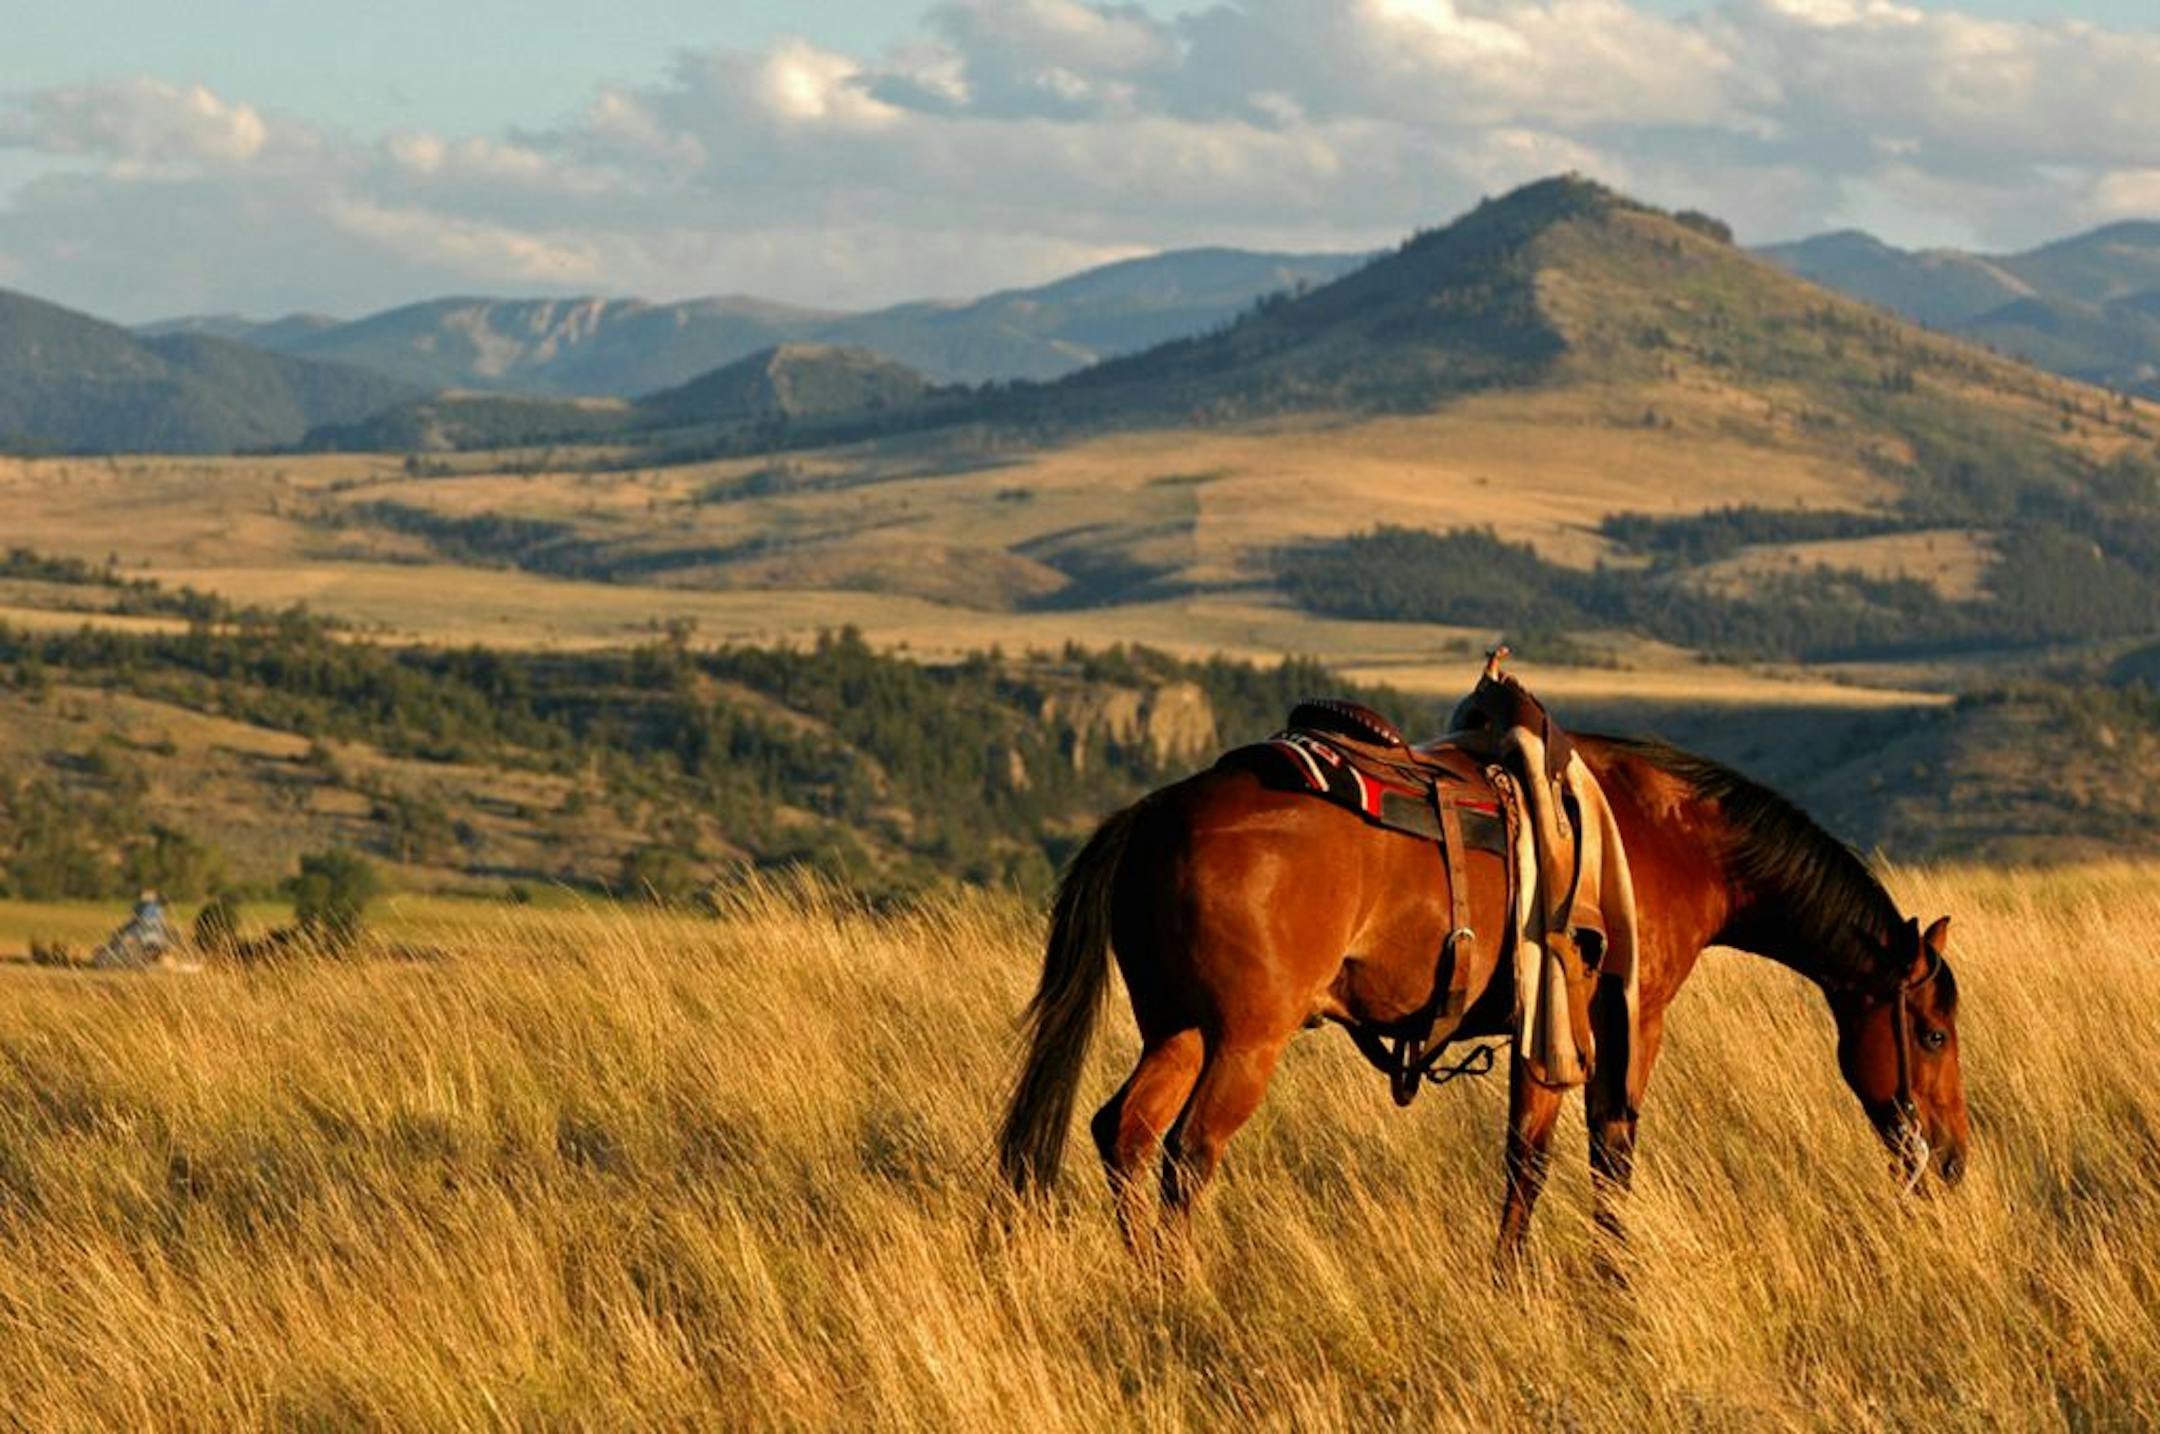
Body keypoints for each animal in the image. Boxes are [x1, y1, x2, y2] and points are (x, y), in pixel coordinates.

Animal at [996, 730, 1969, 1261]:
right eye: (1931, 1035)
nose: (1953, 1159)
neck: (1667, 839)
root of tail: (1154, 814)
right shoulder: (1619, 1024)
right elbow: (1586, 1159)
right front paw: (1591, 1283)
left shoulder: (1557, 1033)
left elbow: (1538, 1157)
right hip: (1244, 1040)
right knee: (1188, 1153)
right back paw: (1181, 1286)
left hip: (1179, 1027)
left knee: (1125, 1133)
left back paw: (1143, 1280)